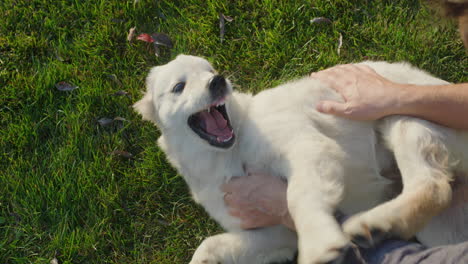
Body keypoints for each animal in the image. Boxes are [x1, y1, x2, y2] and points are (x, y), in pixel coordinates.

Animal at [133, 54, 466, 262]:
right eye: (179, 87)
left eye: (210, 70)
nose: (218, 81)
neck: (229, 155)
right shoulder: (275, 233)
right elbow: (209, 245)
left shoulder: (307, 147)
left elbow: (298, 197)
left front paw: (320, 243)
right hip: (443, 227)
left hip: (398, 110)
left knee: (432, 186)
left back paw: (376, 223)